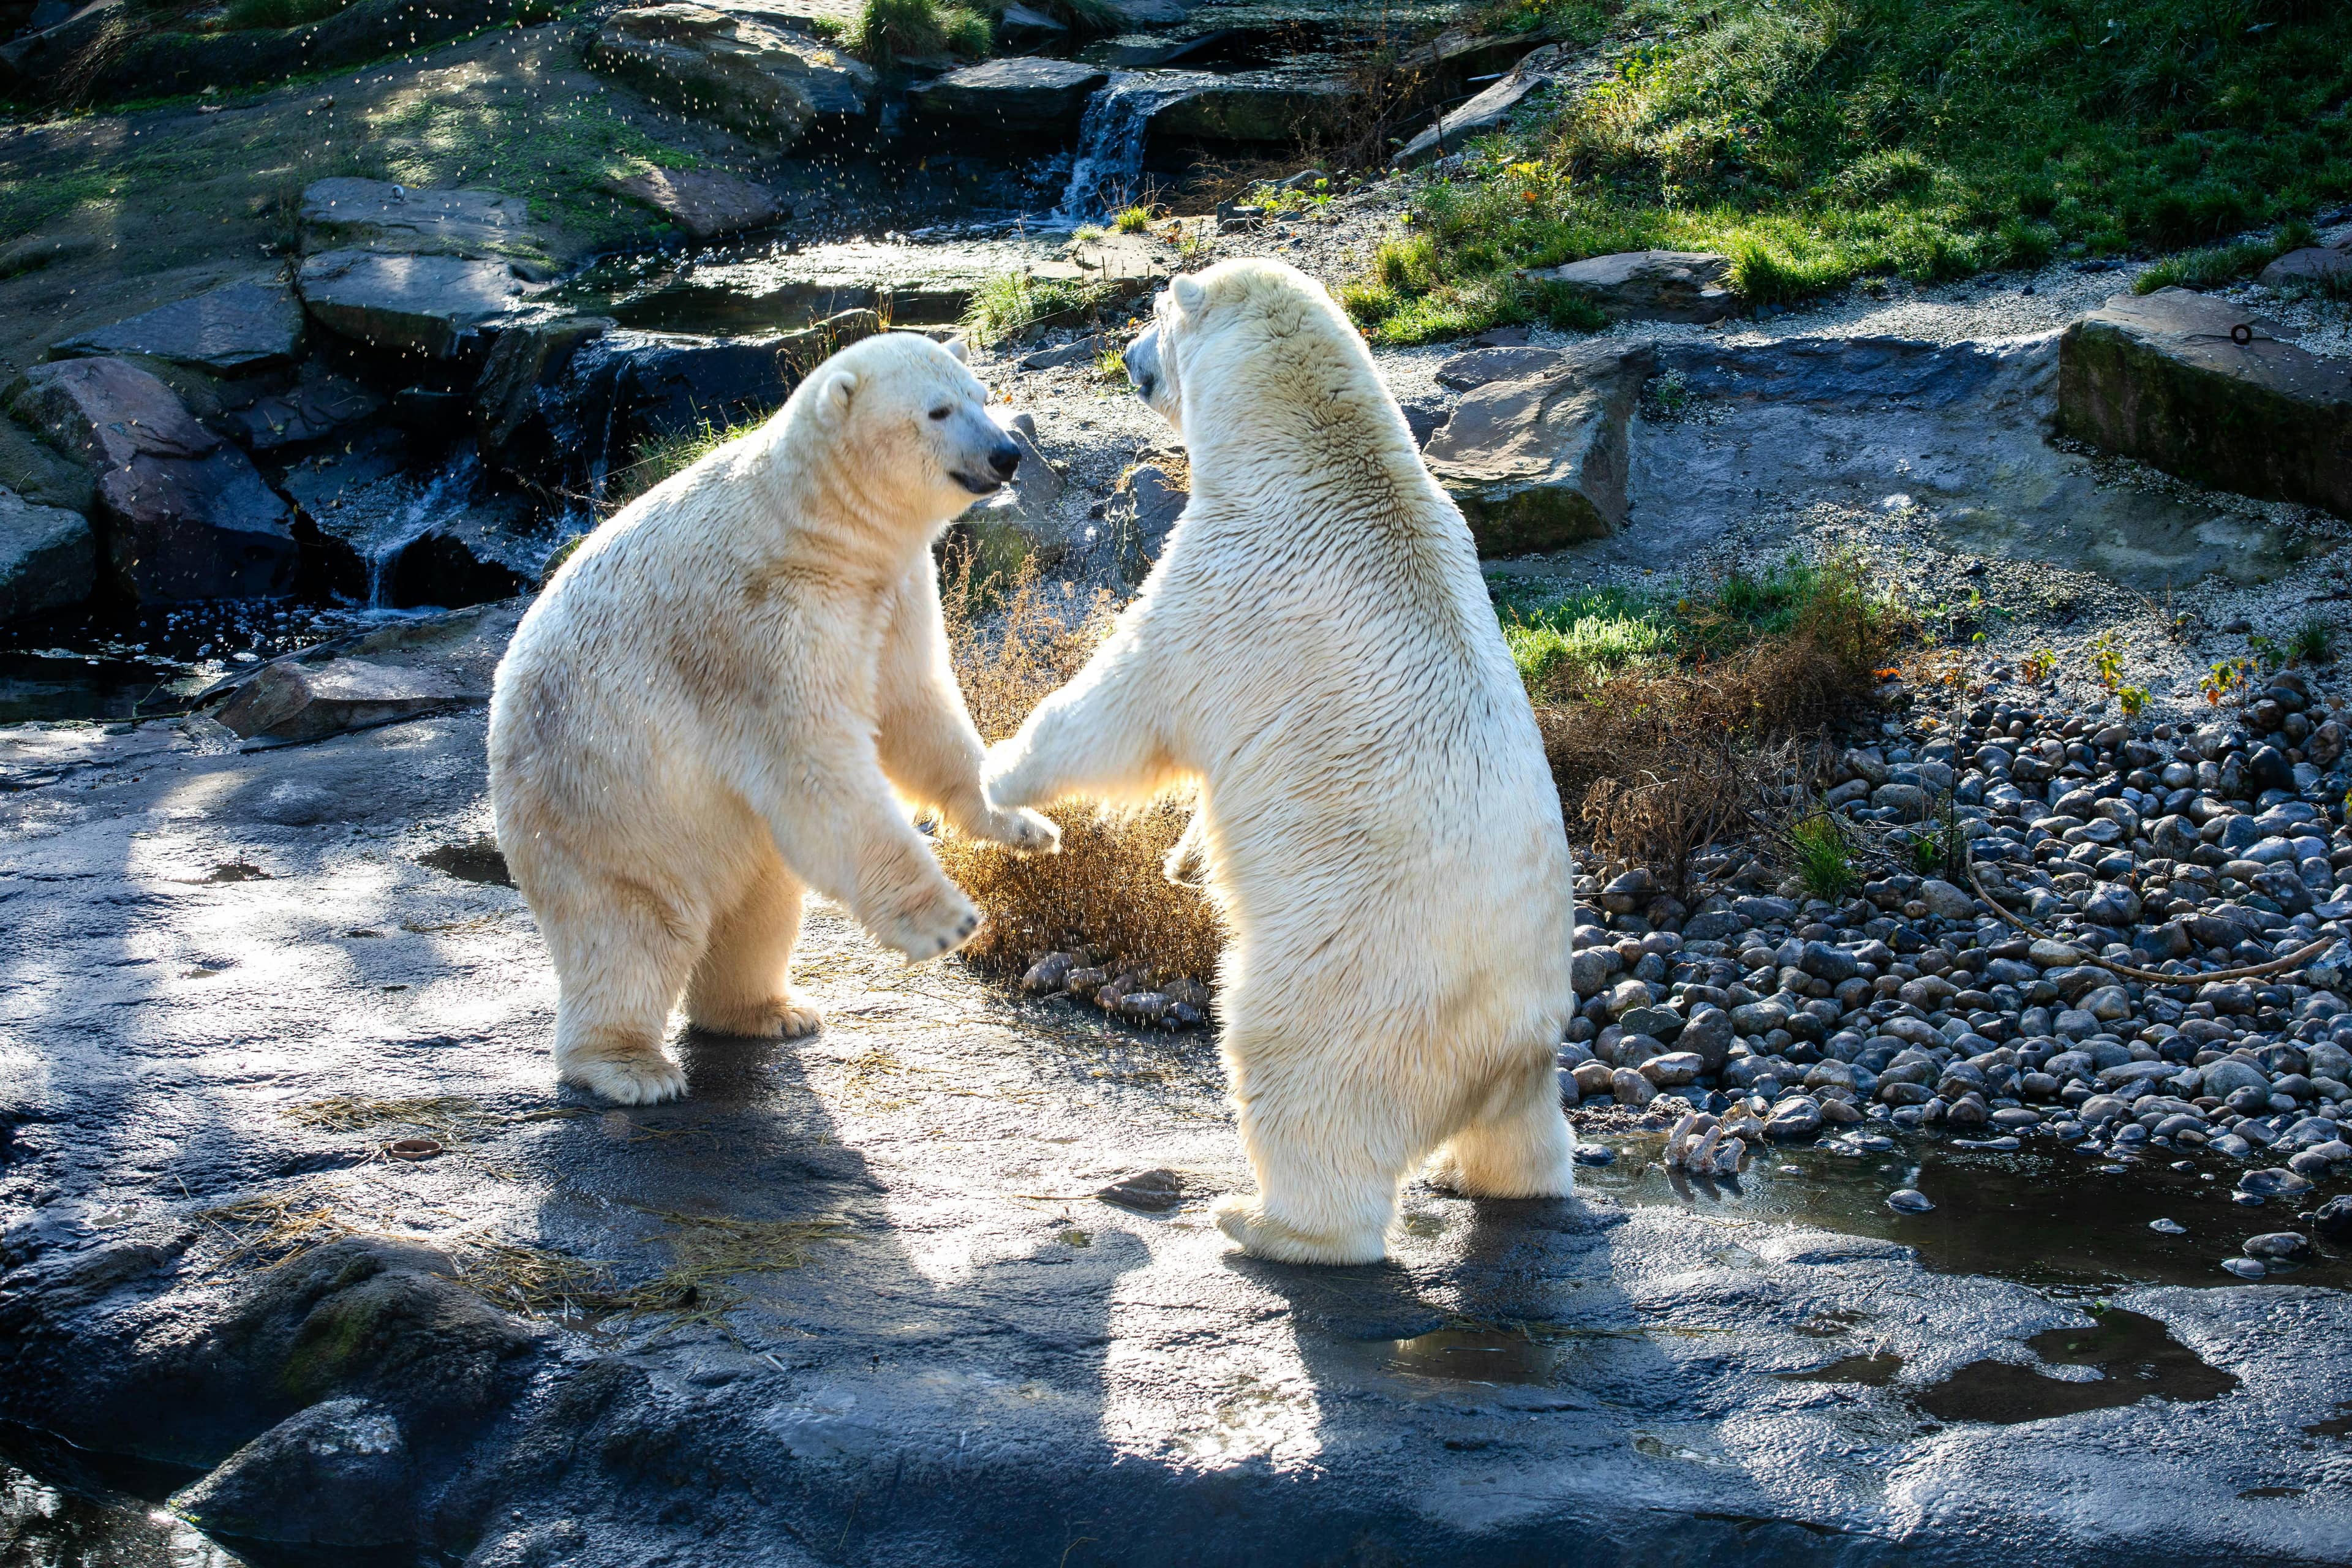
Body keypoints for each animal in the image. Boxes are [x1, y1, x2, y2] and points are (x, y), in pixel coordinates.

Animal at [488, 331, 1060, 1107]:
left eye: (981, 394)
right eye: (938, 410)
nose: (1007, 454)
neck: (814, 524)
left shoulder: (891, 591)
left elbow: (916, 710)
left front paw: (1026, 824)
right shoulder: (763, 627)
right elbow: (816, 763)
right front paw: (947, 920)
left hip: (714, 833)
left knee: (760, 911)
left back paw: (771, 1011)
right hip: (600, 804)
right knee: (633, 928)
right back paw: (632, 1066)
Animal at [981, 258, 1579, 1265]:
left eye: (1154, 314)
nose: (1126, 357)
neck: (1312, 451)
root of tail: (1503, 1047)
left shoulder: (1233, 576)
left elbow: (1125, 706)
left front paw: (994, 778)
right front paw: (1183, 861)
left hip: (1352, 983)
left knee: (1297, 1079)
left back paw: (1260, 1221)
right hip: (1525, 1049)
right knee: (1526, 1136)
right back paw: (1485, 1176)